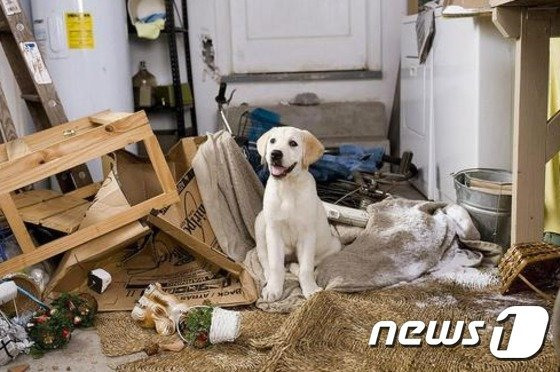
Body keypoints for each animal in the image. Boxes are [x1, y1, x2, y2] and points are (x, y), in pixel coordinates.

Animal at [255, 126, 342, 300]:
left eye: (293, 143)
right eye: (272, 140)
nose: (275, 153)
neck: (288, 187)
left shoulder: (307, 234)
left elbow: (306, 267)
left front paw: (310, 288)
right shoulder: (273, 231)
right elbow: (275, 264)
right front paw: (274, 288)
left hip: (335, 244)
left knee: (308, 263)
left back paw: (295, 267)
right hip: (260, 224)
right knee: (264, 258)